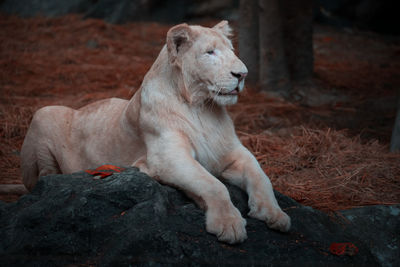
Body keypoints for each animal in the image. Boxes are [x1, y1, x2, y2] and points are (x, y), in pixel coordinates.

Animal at [21, 21, 290, 245]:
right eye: (210, 52)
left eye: (232, 51)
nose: (242, 74)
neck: (202, 108)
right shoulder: (167, 156)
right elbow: (213, 185)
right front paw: (229, 225)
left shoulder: (232, 152)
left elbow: (260, 176)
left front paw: (275, 214)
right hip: (44, 112)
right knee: (41, 177)